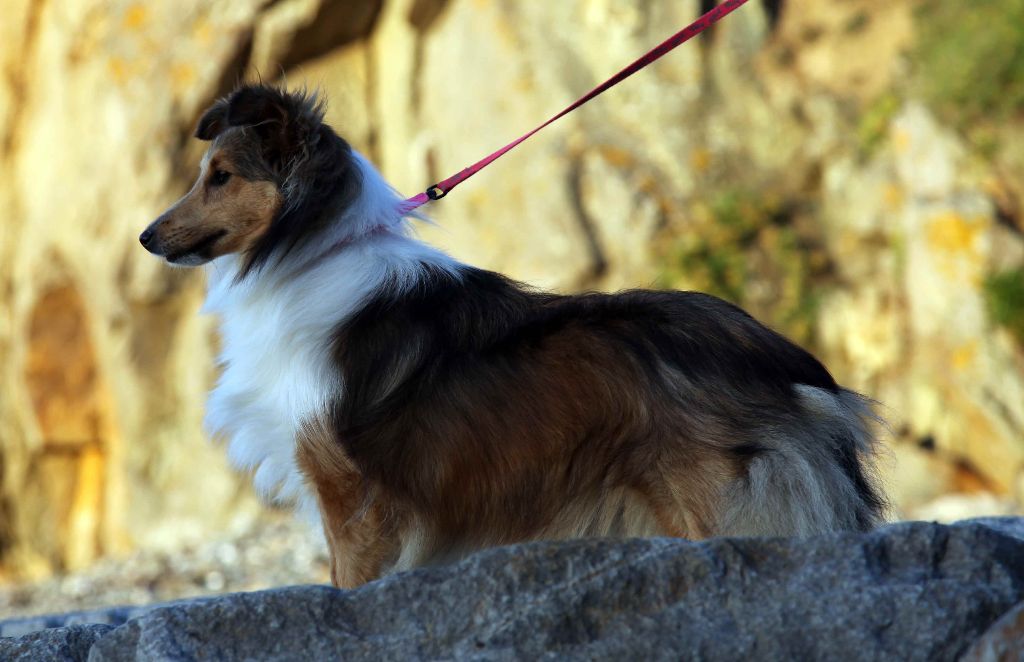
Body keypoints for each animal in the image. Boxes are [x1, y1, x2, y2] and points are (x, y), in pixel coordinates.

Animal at [140, 85, 884, 590]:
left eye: (221, 177)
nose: (146, 237)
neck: (311, 252)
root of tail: (795, 367)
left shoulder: (352, 498)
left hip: (725, 511)